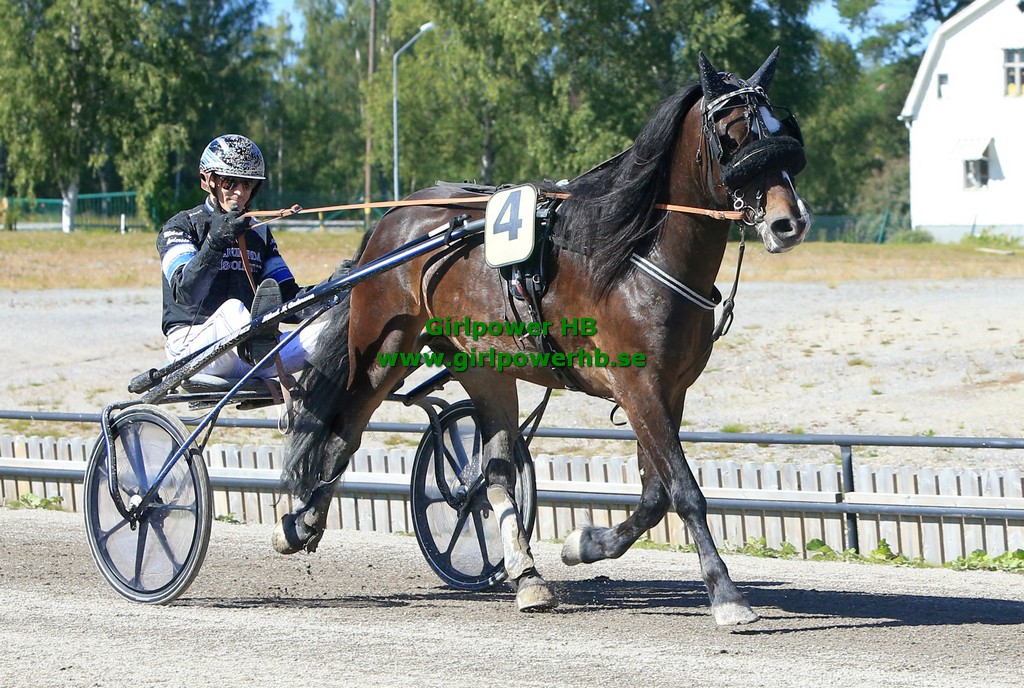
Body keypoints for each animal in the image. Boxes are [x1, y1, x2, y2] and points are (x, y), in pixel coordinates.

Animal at [272, 48, 811, 625]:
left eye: (780, 130)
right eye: (732, 135)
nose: (789, 223)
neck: (635, 257)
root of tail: (392, 218)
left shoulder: (670, 390)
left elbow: (654, 496)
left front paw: (585, 544)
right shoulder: (638, 386)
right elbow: (684, 491)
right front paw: (727, 595)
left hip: (482, 367)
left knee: (496, 470)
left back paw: (526, 576)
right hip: (384, 349)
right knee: (343, 427)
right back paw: (301, 519)